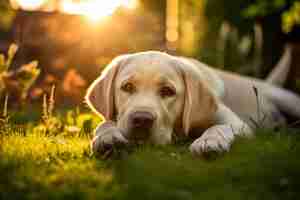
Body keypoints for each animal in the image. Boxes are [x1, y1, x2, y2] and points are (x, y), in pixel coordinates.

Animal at [86, 45, 300, 156]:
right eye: (127, 87)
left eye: (168, 91)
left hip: (288, 100)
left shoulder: (237, 123)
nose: (141, 119)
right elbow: (104, 123)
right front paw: (107, 138)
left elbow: (219, 127)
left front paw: (209, 141)